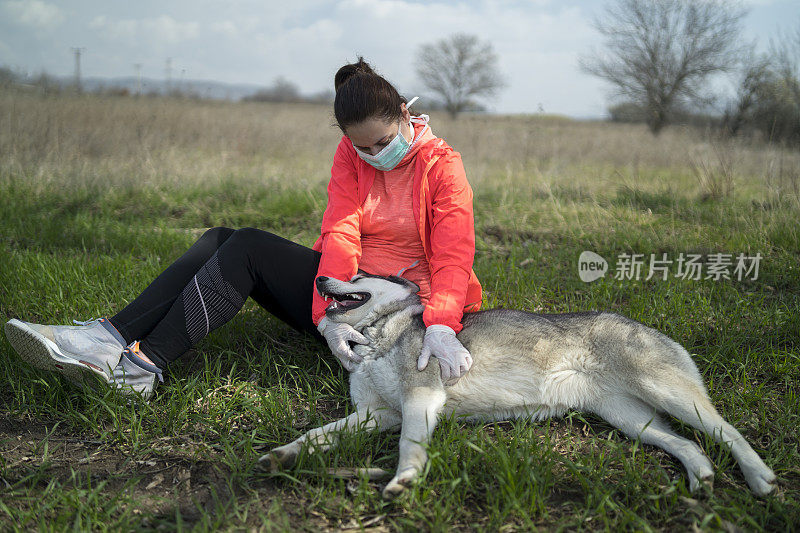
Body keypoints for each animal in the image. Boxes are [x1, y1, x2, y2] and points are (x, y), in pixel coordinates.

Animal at [260, 274, 776, 498]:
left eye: (359, 273)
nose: (322, 277)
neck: (377, 336)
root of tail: (646, 327)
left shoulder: (419, 401)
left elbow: (409, 446)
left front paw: (404, 481)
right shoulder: (375, 414)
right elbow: (315, 435)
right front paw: (282, 456)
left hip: (668, 393)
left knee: (728, 432)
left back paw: (761, 478)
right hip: (631, 419)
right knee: (689, 445)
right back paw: (702, 477)